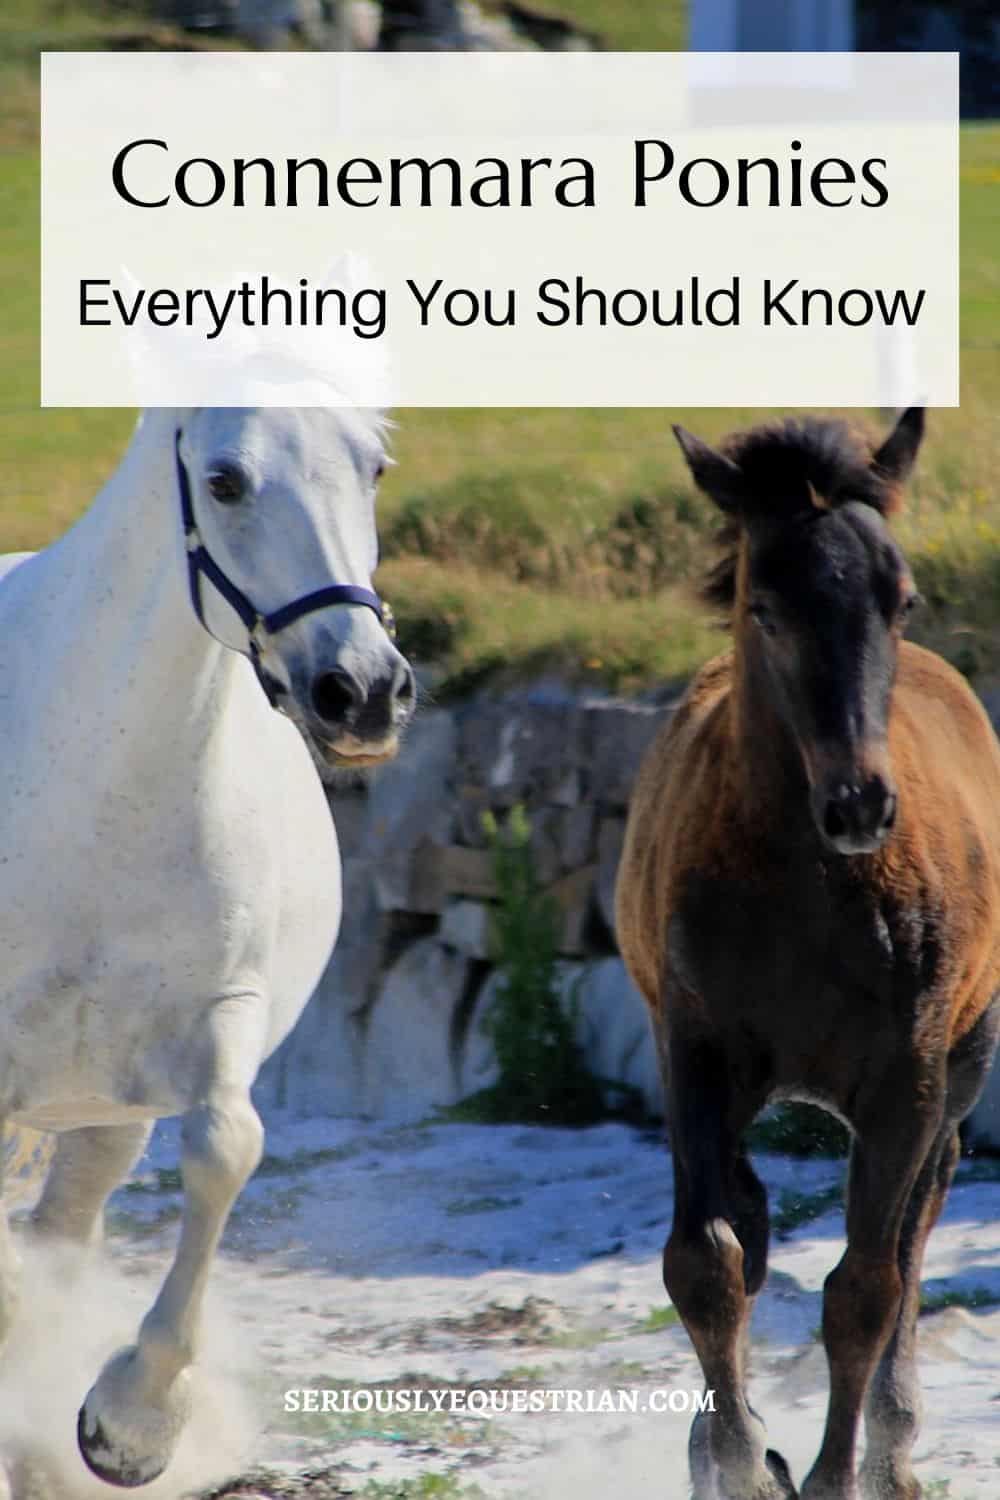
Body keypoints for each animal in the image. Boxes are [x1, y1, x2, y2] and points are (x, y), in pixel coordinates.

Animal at [0, 405, 413, 1489]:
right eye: (224, 480)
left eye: (374, 466)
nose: (364, 692)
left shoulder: (218, 1018)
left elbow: (227, 1150)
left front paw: (131, 1425)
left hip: (102, 1116)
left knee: (64, 1233)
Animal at [616, 408, 1000, 1500]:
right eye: (766, 606)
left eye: (899, 597)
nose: (859, 803)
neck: (804, 889)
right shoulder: (694, 1052)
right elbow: (706, 1261)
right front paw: (743, 1463)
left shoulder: (908, 1079)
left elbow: (866, 1284)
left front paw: (834, 1474)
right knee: (746, 1218)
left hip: (962, 1063)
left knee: (919, 1219)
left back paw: (894, 1443)